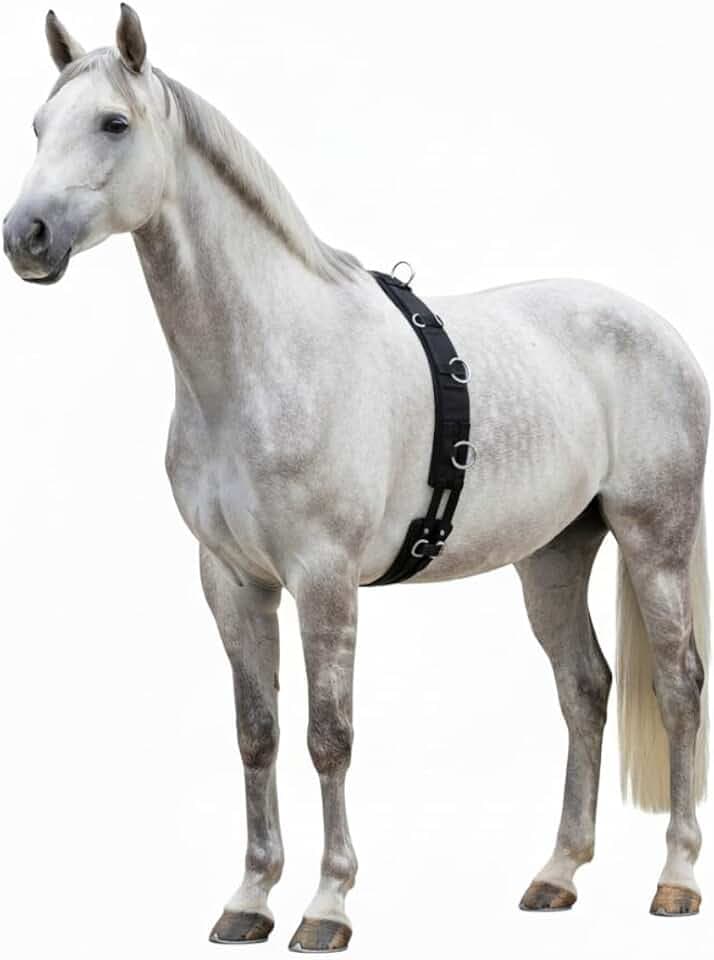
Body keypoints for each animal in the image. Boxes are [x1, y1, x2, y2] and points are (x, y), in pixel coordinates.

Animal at [3, 6, 710, 952]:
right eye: (39, 126)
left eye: (114, 123)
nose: (27, 239)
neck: (265, 360)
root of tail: (657, 328)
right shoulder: (232, 583)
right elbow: (257, 733)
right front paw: (249, 899)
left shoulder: (325, 580)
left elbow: (327, 736)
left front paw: (326, 905)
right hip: (555, 553)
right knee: (584, 689)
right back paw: (557, 875)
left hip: (652, 539)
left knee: (678, 687)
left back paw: (675, 879)